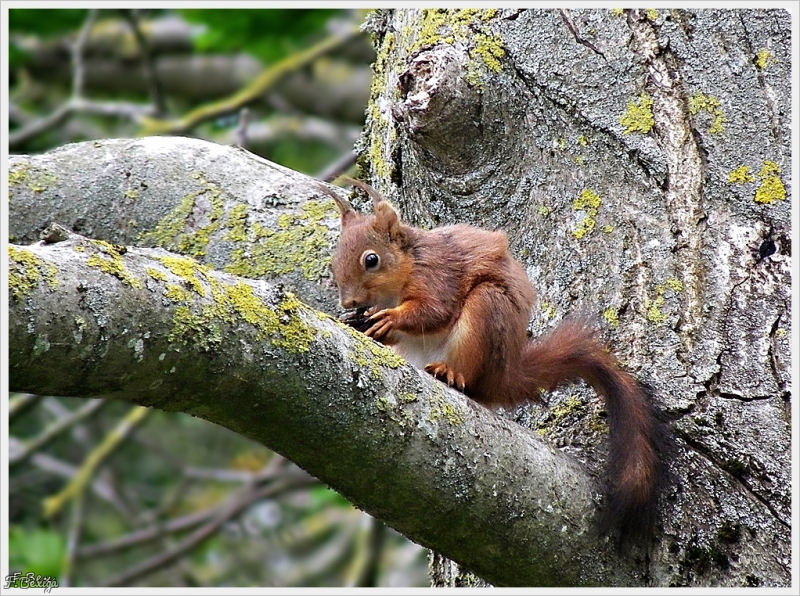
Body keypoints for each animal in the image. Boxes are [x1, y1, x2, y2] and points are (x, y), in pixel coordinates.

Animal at [316, 177, 664, 544]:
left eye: (371, 260)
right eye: (334, 261)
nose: (349, 301)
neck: (403, 271)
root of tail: (503, 375)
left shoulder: (436, 275)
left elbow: (433, 311)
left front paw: (392, 319)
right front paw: (357, 323)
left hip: (486, 310)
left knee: (468, 374)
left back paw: (449, 373)